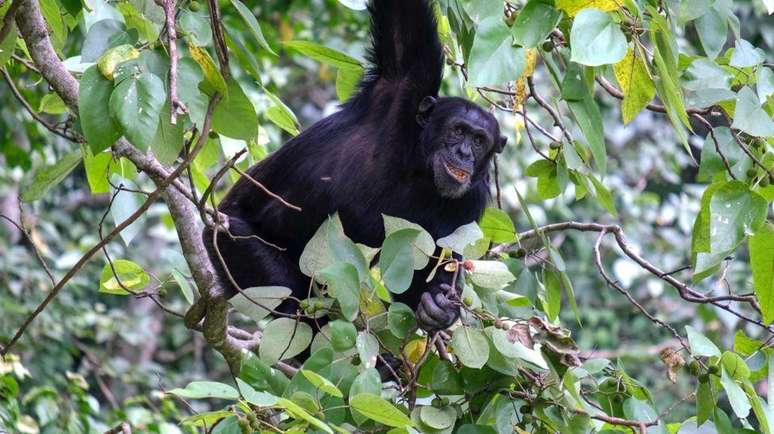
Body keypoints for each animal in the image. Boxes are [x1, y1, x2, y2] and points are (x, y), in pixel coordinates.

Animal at [206, 0, 510, 328]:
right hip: (229, 236)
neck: (420, 169)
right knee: (290, 294)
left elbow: (433, 262)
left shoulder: (467, 204)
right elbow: (405, 26)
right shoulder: (406, 83)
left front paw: (438, 307)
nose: (464, 153)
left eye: (479, 140)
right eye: (458, 130)